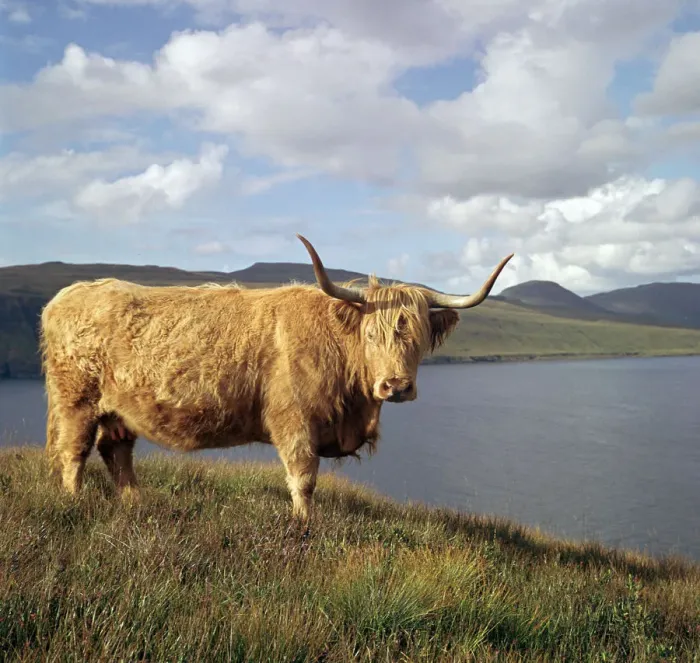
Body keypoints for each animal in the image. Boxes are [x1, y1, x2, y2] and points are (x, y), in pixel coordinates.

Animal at [40, 234, 513, 521]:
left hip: (118, 409)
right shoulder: (294, 421)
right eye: (370, 334)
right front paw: (303, 526)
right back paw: (72, 503)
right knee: (74, 451)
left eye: (417, 336)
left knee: (115, 450)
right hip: (77, 400)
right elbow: (303, 478)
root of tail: (71, 293)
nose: (395, 386)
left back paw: (135, 503)